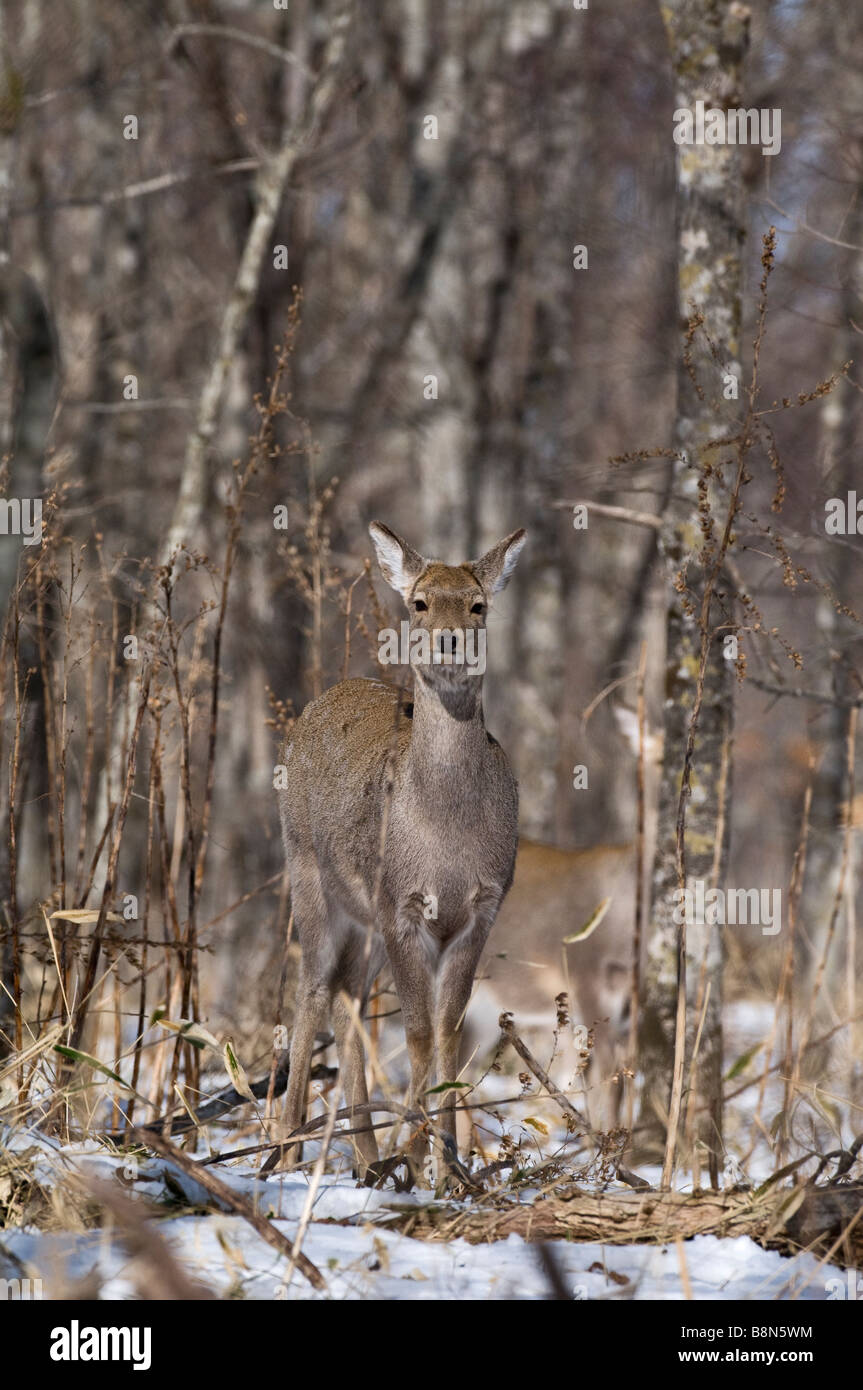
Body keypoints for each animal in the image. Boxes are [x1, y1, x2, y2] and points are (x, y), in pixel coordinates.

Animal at [277, 522, 525, 1173]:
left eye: (477, 605)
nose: (448, 642)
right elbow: (416, 1033)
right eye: (419, 602)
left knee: (347, 1001)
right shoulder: (400, 904)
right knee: (313, 988)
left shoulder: (483, 907)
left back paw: (364, 1154)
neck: (447, 834)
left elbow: (448, 1032)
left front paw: (447, 1161)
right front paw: (414, 1152)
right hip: (307, 871)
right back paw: (284, 1148)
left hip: (360, 920)